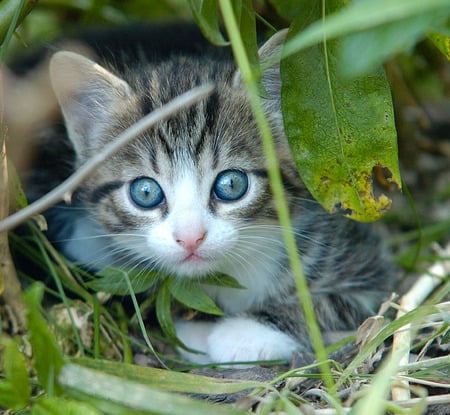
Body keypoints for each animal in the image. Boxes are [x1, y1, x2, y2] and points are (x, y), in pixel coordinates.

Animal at [22, 24, 394, 366]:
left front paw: (247, 333)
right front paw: (196, 327)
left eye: (231, 185)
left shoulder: (363, 259)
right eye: (145, 192)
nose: (190, 238)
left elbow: (333, 304)